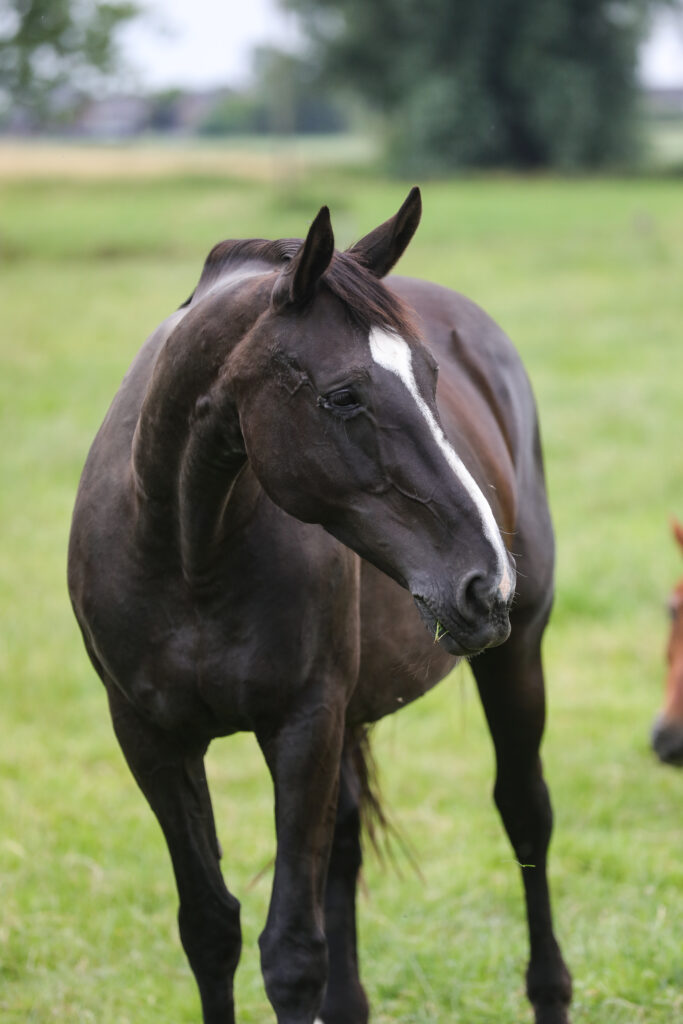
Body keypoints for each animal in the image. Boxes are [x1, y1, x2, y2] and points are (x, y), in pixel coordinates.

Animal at [68, 188, 572, 1024]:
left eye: (432, 379)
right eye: (342, 396)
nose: (486, 583)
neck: (187, 554)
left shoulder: (302, 724)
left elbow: (291, 954)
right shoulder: (149, 738)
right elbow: (210, 929)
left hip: (516, 655)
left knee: (524, 816)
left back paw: (550, 991)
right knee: (341, 846)